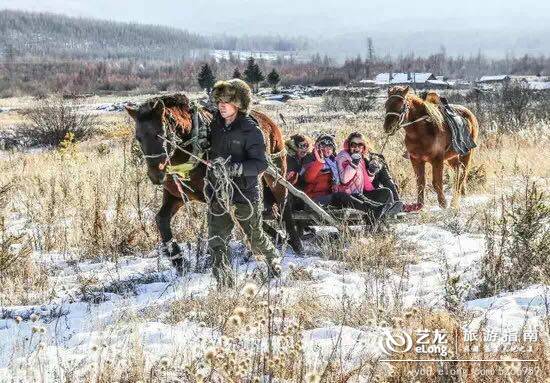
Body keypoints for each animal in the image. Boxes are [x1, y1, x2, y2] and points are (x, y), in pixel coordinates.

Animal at [126, 94, 298, 270]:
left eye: (160, 134)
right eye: (138, 138)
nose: (155, 175)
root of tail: (268, 121)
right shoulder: (177, 195)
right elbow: (161, 220)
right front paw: (178, 259)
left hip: (277, 175)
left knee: (284, 205)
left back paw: (295, 243)